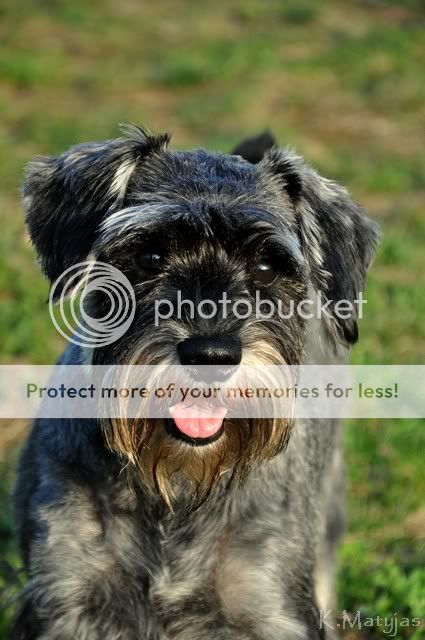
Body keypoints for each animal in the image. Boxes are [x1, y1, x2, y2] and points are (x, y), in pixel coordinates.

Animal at [11, 126, 379, 639]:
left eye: (267, 266)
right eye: (149, 254)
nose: (211, 356)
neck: (177, 490)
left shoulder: (269, 606)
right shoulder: (66, 596)